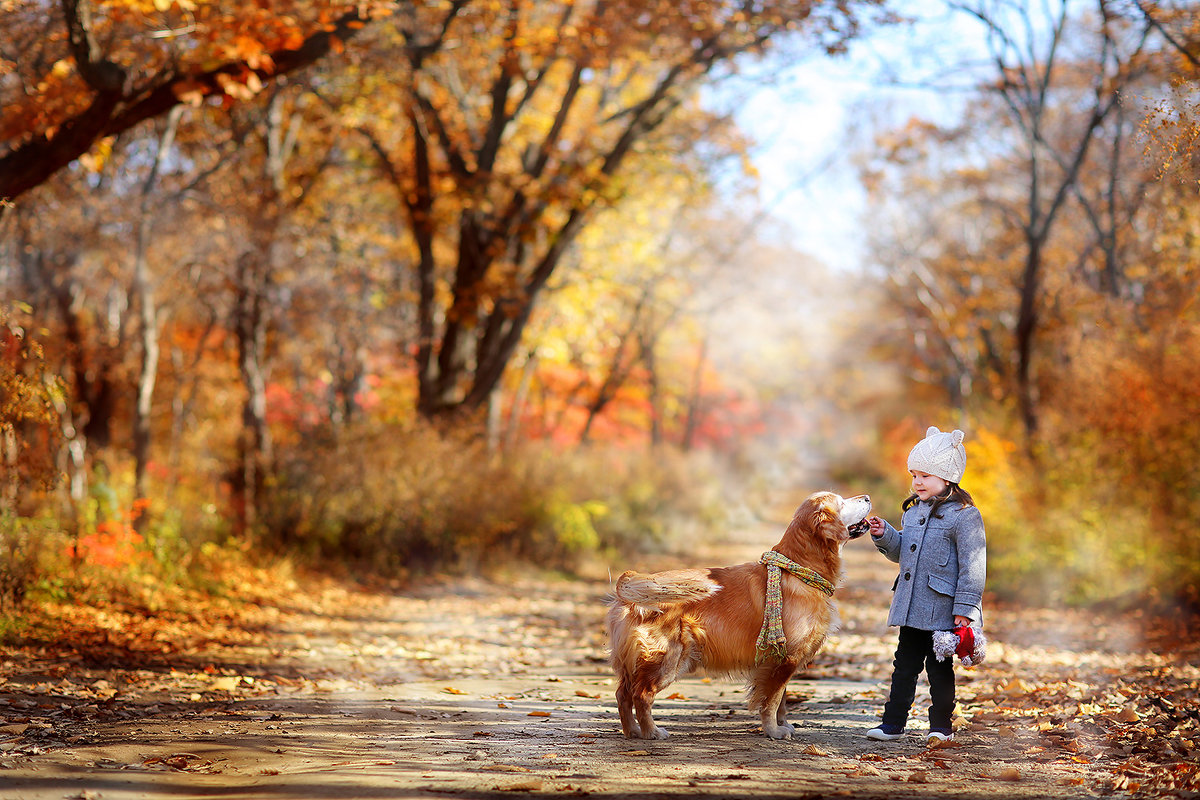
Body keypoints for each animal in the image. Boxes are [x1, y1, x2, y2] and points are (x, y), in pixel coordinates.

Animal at [604, 491, 868, 743]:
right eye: (841, 502)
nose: (866, 497)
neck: (799, 569)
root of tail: (628, 592)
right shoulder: (785, 658)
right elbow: (772, 700)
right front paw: (773, 730)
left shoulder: (781, 659)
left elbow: (782, 699)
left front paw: (782, 724)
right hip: (668, 659)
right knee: (641, 695)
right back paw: (651, 732)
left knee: (622, 694)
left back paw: (632, 731)